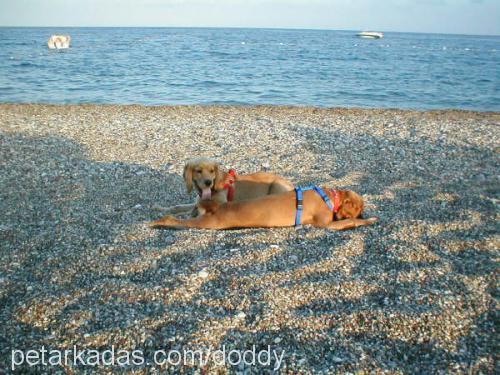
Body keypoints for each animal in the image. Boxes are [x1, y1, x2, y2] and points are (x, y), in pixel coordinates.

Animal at [162, 158, 294, 217]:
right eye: (198, 171)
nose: (208, 182)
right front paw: (162, 209)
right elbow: (178, 207)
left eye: (212, 171)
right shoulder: (197, 201)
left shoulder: (221, 203)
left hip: (276, 186)